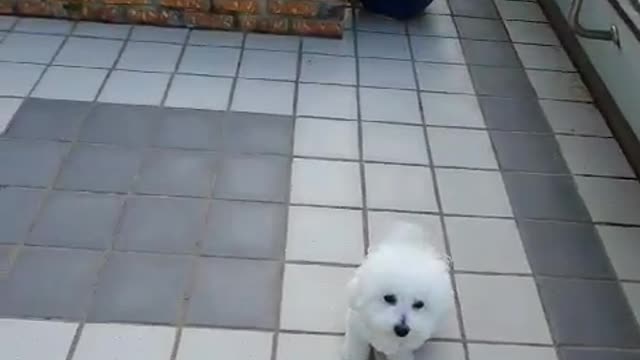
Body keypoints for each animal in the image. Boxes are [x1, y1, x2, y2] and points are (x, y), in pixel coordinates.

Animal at [342, 222, 452, 360]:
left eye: (419, 304)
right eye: (389, 298)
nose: (402, 330)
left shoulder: (402, 348)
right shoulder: (356, 330)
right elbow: (355, 348)